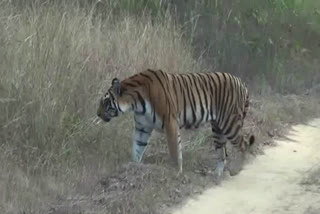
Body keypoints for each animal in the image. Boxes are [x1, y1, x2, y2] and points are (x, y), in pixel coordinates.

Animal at [96, 69, 254, 179]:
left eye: (105, 102)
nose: (97, 114)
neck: (136, 102)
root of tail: (242, 83)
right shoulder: (142, 127)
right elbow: (137, 148)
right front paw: (134, 167)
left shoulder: (169, 122)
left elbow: (174, 150)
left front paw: (175, 173)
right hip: (217, 128)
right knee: (222, 153)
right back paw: (217, 175)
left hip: (230, 124)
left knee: (244, 145)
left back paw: (239, 169)